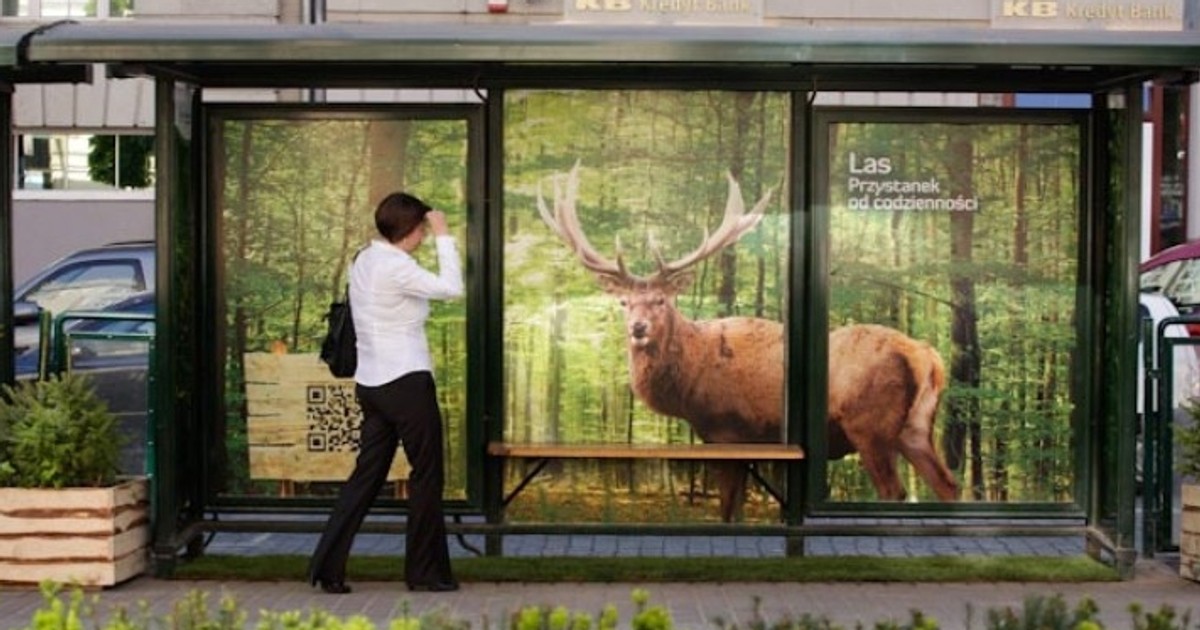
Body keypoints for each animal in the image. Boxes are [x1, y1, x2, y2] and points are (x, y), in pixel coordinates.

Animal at [540, 162, 960, 520]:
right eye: (624, 302)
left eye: (661, 300)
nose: (638, 327)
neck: (690, 383)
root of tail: (927, 356)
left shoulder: (728, 431)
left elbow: (728, 509)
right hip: (916, 427)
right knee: (949, 484)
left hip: (869, 425)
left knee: (894, 490)